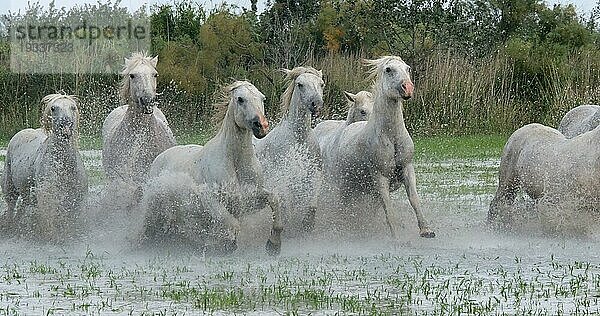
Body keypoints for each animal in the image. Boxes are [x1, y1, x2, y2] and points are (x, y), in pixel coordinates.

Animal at [1, 93, 88, 239]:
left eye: (73, 107)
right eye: (53, 108)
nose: (66, 125)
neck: (63, 166)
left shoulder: (76, 199)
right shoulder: (47, 195)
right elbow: (49, 219)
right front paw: (50, 237)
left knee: (22, 206)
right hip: (9, 186)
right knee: (11, 205)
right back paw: (10, 226)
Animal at [139, 81, 282, 254]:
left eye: (262, 98)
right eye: (240, 99)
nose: (262, 126)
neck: (235, 162)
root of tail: (160, 157)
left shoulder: (250, 199)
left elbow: (274, 199)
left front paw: (274, 245)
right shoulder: (210, 199)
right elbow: (231, 223)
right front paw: (226, 245)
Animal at [255, 66, 326, 237]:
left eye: (321, 84)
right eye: (300, 84)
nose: (316, 104)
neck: (298, 140)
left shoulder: (314, 175)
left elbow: (312, 204)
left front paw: (307, 224)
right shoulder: (283, 180)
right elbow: (286, 207)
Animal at [318, 57, 436, 239]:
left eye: (408, 68)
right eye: (388, 69)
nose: (408, 88)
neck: (391, 136)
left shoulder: (407, 168)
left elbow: (414, 199)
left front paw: (426, 230)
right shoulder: (380, 176)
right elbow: (388, 208)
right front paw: (396, 237)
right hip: (344, 188)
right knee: (344, 209)